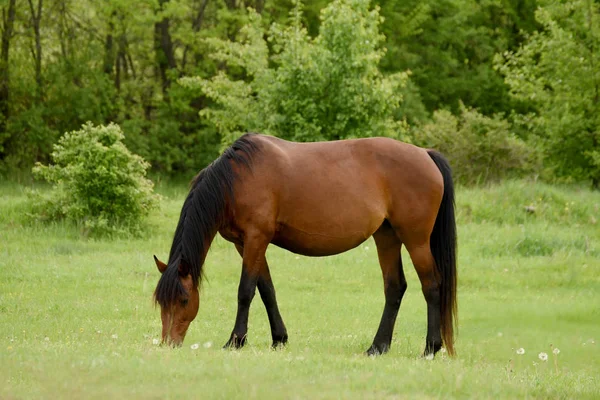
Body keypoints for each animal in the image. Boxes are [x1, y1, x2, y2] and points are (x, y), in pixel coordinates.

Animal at [152, 132, 458, 356]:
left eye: (184, 299)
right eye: (160, 302)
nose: (169, 343)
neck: (237, 179)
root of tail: (425, 154)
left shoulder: (256, 238)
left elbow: (245, 291)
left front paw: (236, 341)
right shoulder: (246, 243)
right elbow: (267, 290)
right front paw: (279, 339)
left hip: (416, 240)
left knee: (431, 285)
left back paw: (430, 348)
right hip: (387, 237)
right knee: (395, 288)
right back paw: (377, 347)